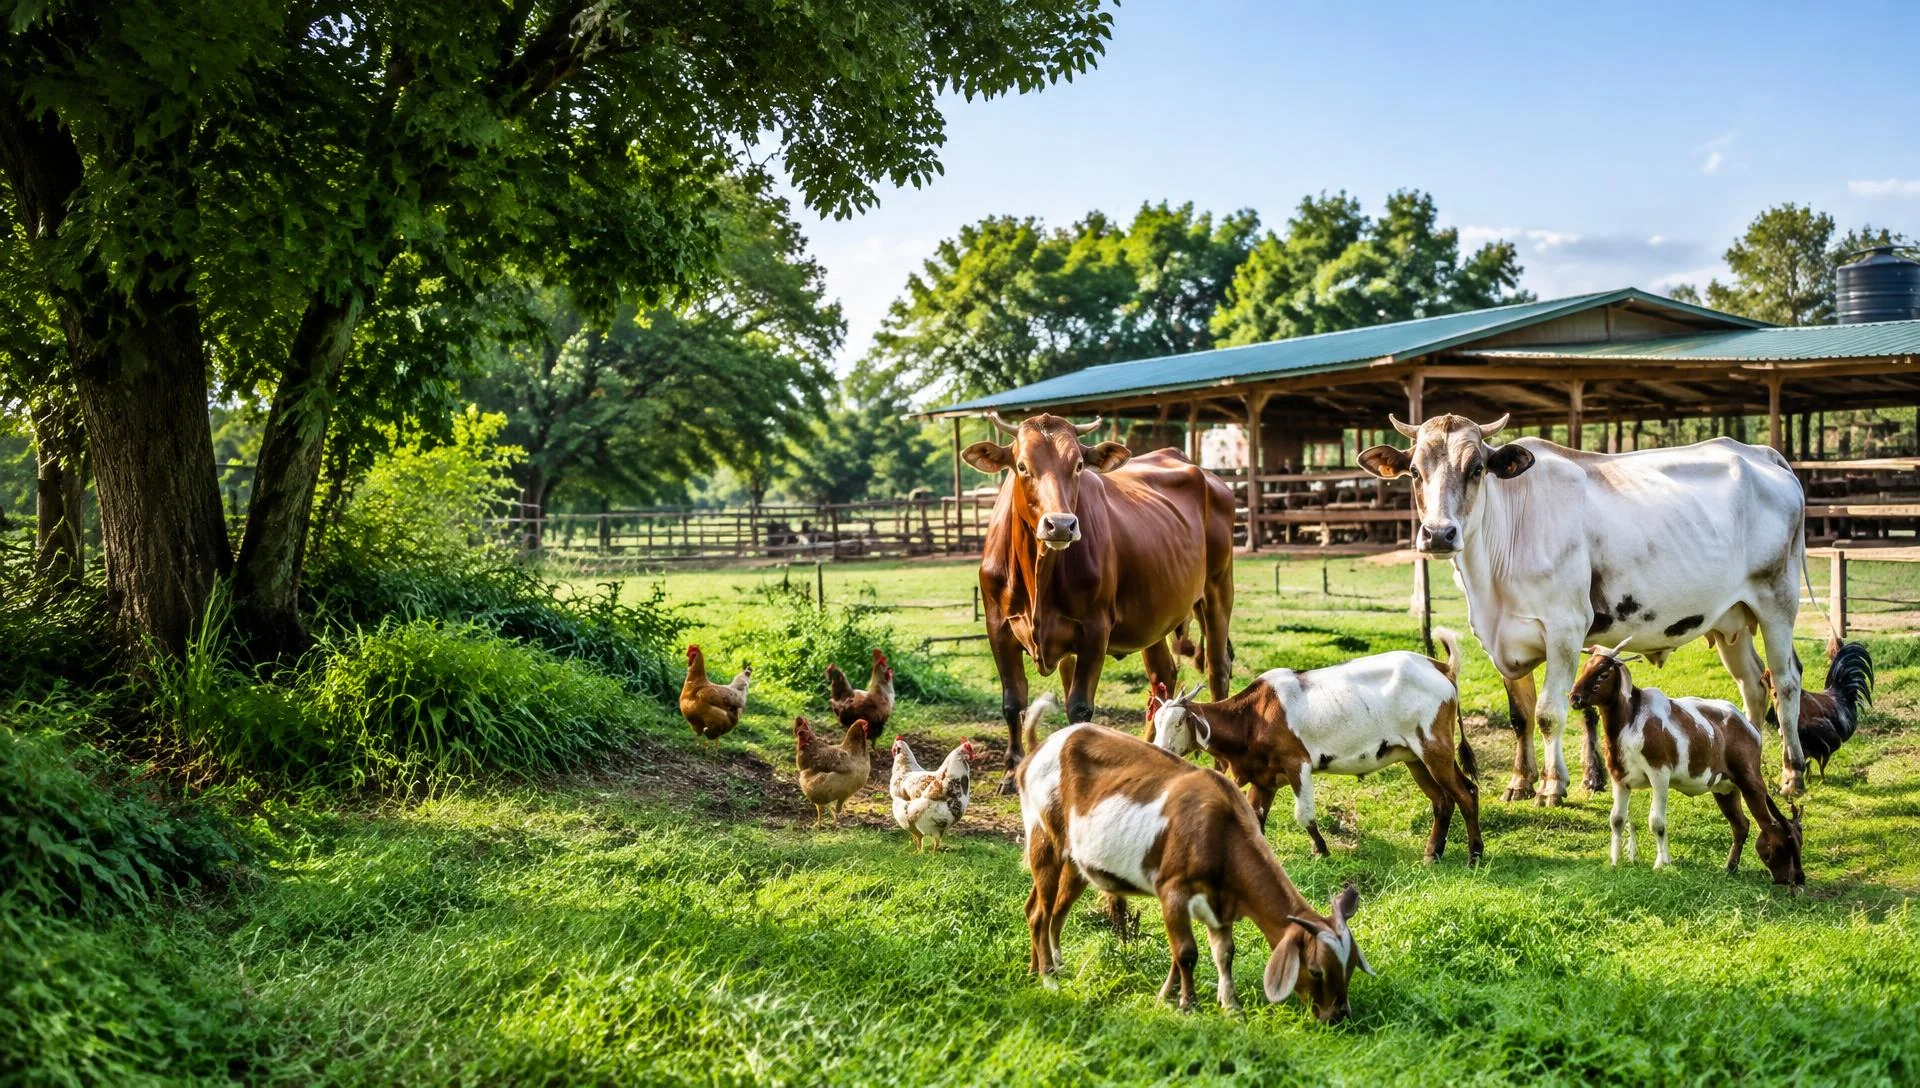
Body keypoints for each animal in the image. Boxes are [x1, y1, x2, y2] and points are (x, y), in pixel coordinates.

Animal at [964, 411, 1236, 792]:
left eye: (1078, 465)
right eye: (1021, 466)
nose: (1061, 524)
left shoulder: (1095, 630)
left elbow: (1078, 708)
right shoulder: (998, 628)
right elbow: (1013, 702)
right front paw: (1010, 774)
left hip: (1218, 588)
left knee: (1217, 666)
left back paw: (1219, 763)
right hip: (1155, 615)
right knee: (1162, 675)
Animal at [1017, 720, 1372, 1020]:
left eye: (1350, 967)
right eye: (1316, 970)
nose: (1337, 1016)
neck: (1222, 832)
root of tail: (1036, 753)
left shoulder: (1221, 903)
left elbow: (1223, 953)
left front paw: (1228, 1006)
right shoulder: (1173, 890)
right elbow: (1186, 953)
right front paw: (1188, 1005)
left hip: (1075, 861)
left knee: (1048, 908)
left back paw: (1039, 970)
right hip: (1043, 838)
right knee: (1041, 913)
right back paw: (1048, 978)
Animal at [1148, 628, 1481, 864]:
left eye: (1178, 722)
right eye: (1157, 723)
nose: (1160, 750)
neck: (1254, 715)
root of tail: (1440, 667)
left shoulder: (1298, 763)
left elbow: (1304, 814)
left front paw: (1321, 851)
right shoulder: (1264, 778)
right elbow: (1255, 817)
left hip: (1434, 748)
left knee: (1465, 794)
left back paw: (1474, 855)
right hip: (1415, 757)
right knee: (1444, 800)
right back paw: (1432, 854)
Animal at [1358, 413, 1810, 804]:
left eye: (1477, 469)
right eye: (1416, 472)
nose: (1438, 534)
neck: (1491, 579)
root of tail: (1757, 452)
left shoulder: (1565, 629)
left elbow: (1548, 712)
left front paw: (1552, 785)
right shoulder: (1501, 639)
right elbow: (1520, 715)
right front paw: (1520, 782)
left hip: (1776, 599)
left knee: (1784, 681)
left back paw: (1793, 774)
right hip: (1731, 618)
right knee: (1752, 683)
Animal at [1570, 637, 1804, 888]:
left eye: (1603, 673)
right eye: (1584, 668)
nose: (1574, 697)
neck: (1632, 719)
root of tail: (1750, 727)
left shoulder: (1660, 775)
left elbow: (1657, 822)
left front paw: (1661, 864)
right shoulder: (1619, 778)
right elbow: (1616, 819)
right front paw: (1615, 862)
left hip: (1749, 778)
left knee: (1768, 823)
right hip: (1725, 787)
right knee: (1742, 825)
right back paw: (1730, 868)